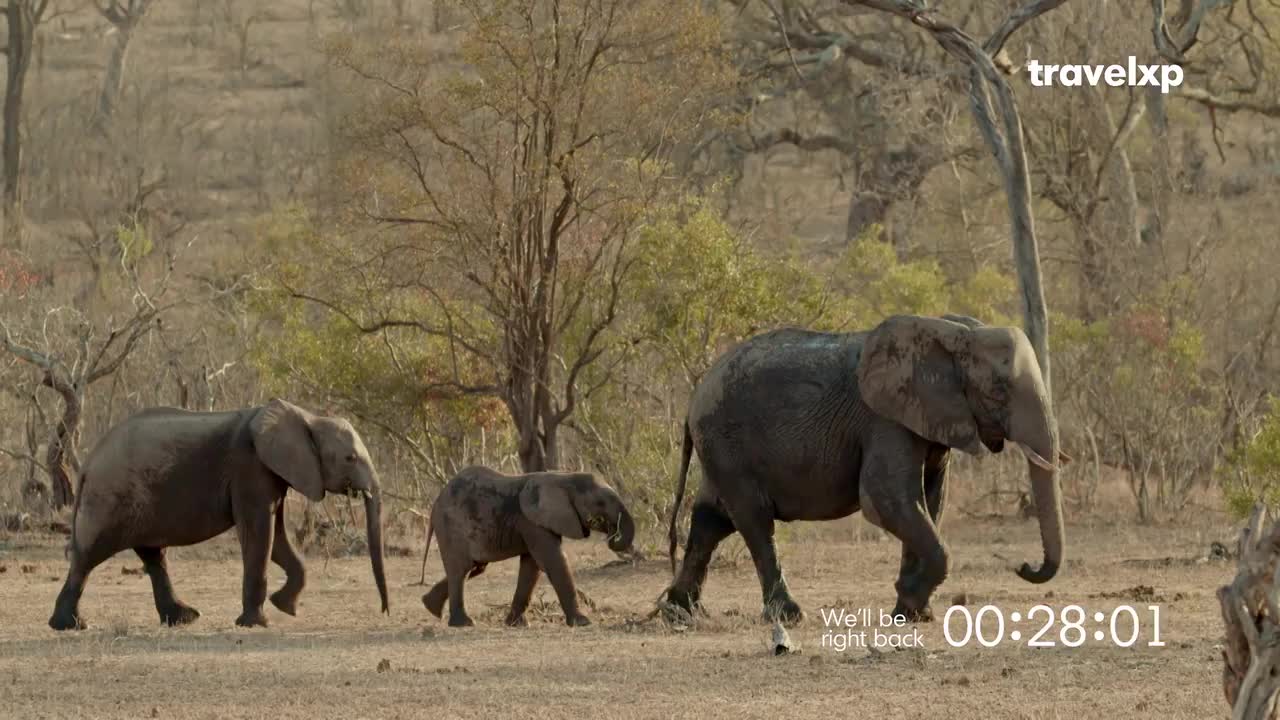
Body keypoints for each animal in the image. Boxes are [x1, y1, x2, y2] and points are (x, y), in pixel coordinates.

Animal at [48, 398, 390, 631]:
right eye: (350, 458)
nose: (385, 611)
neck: (307, 417)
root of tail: (87, 465)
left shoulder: (271, 474)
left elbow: (276, 537)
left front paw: (286, 608)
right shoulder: (250, 467)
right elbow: (259, 533)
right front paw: (256, 623)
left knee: (153, 556)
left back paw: (184, 618)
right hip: (110, 498)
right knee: (88, 556)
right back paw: (71, 625)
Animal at [420, 466, 635, 627]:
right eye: (600, 503)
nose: (611, 532)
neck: (564, 477)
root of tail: (435, 503)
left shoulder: (536, 522)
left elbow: (531, 567)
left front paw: (517, 625)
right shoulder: (532, 521)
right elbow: (553, 560)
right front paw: (583, 623)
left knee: (474, 567)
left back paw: (430, 606)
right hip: (451, 526)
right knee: (461, 569)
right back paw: (463, 623)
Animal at [663, 313, 1065, 625]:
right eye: (998, 391)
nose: (1024, 567)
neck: (953, 331)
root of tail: (692, 400)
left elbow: (930, 501)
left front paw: (913, 614)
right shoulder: (885, 420)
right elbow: (885, 499)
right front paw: (908, 601)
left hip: (720, 449)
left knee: (711, 521)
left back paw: (679, 614)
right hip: (727, 443)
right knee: (755, 520)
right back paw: (789, 616)